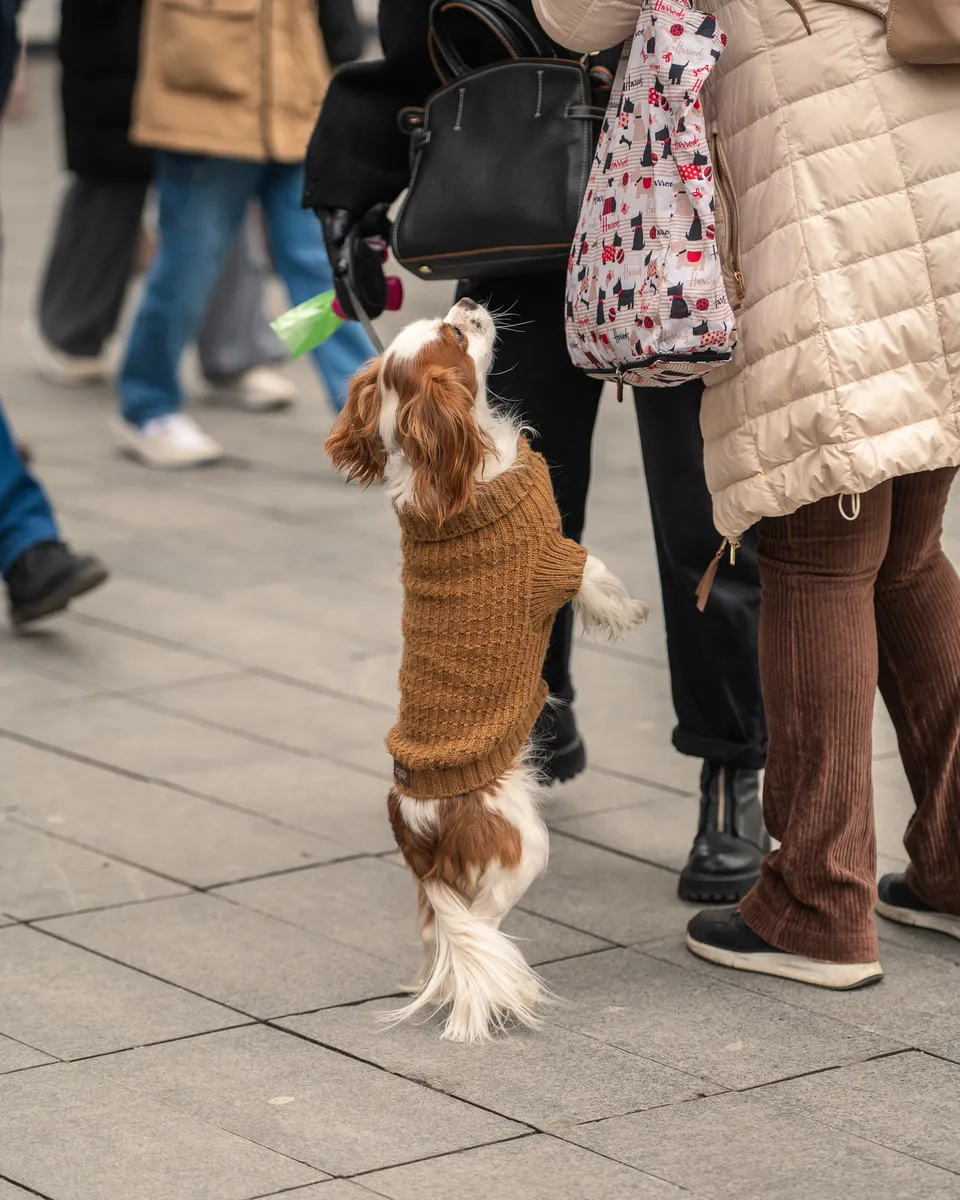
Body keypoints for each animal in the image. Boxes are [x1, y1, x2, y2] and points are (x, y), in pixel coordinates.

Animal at [321, 300, 643, 1041]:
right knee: (474, 924)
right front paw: (628, 611)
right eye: (456, 336)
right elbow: (597, 575)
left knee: (437, 930)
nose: (466, 304)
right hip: (523, 847)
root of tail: (423, 834)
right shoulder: (557, 557)